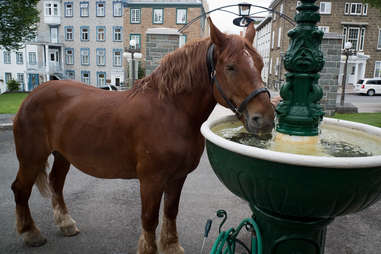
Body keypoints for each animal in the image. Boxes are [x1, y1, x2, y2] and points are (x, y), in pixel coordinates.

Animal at [11, 19, 274, 254]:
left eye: (260, 64)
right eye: (230, 67)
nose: (265, 118)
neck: (171, 111)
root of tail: (33, 94)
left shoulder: (177, 177)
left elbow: (170, 212)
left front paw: (171, 246)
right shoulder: (151, 179)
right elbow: (149, 218)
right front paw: (150, 248)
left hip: (62, 156)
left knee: (56, 184)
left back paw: (65, 224)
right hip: (31, 158)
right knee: (20, 189)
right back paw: (30, 233)